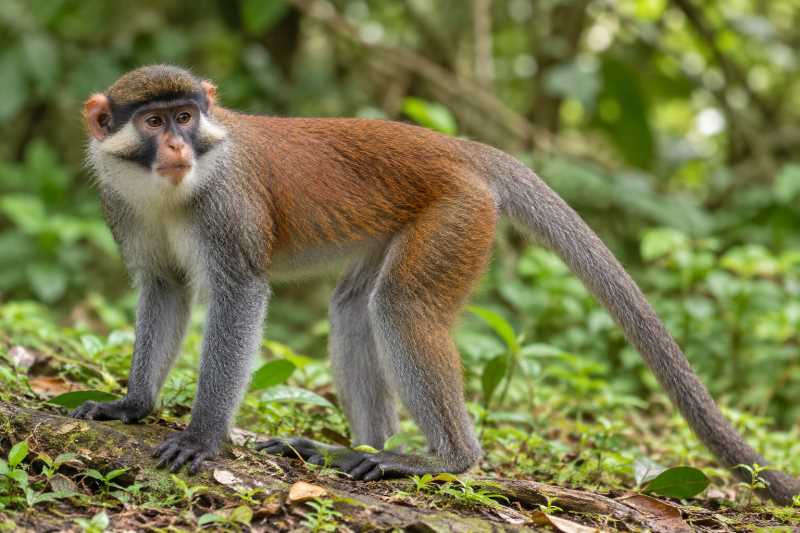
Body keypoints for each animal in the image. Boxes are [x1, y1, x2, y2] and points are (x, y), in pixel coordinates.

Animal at [71, 64, 799, 505]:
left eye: (186, 117)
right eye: (154, 122)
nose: (177, 148)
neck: (172, 191)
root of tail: (455, 148)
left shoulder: (227, 211)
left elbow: (240, 296)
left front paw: (201, 436)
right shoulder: (121, 206)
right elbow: (165, 288)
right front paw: (133, 403)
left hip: (457, 215)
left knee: (399, 307)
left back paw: (445, 459)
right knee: (355, 308)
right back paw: (357, 449)